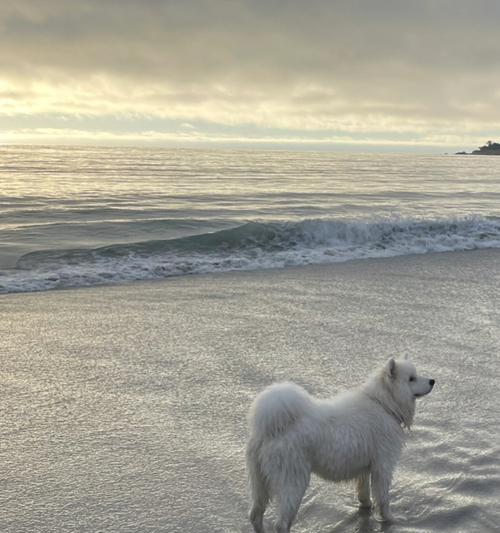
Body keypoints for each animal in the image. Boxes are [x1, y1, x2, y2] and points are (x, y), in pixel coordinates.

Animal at [246, 358, 434, 532]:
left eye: (416, 375)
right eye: (411, 379)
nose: (432, 381)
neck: (384, 404)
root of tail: (270, 430)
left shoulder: (365, 468)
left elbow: (364, 494)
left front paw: (367, 508)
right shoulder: (383, 466)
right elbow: (383, 500)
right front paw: (391, 520)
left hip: (260, 482)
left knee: (255, 514)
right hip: (294, 481)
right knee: (281, 524)